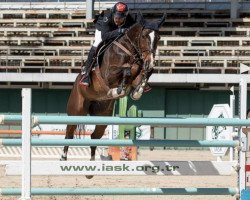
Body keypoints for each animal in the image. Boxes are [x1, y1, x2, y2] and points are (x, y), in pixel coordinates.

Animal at [60, 13, 165, 178]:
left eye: (158, 37)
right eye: (144, 36)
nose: (150, 62)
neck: (129, 51)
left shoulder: (139, 71)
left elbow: (142, 74)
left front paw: (138, 90)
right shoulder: (109, 74)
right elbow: (126, 70)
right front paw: (118, 89)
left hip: (103, 116)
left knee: (94, 137)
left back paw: (90, 170)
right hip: (76, 110)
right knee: (69, 134)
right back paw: (63, 159)